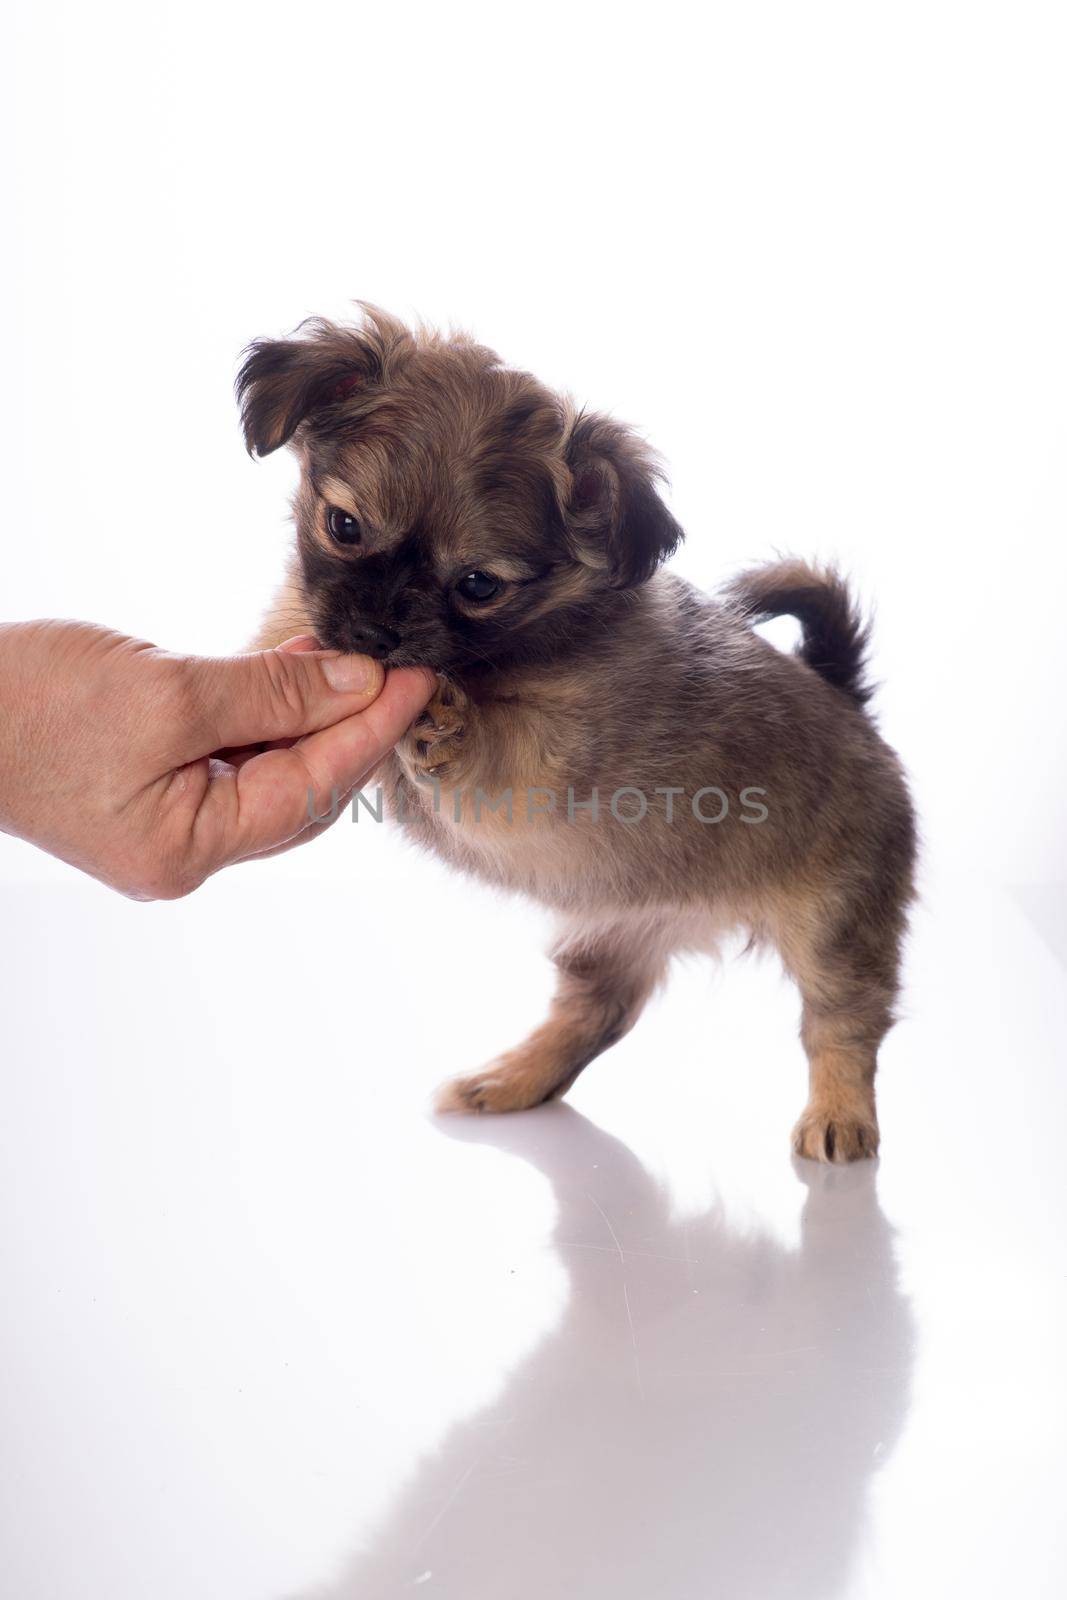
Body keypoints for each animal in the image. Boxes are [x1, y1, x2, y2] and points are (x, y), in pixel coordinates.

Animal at [239, 305, 921, 1164]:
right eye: (343, 526)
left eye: (477, 586)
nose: (374, 632)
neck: (513, 643)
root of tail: (846, 698)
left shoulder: (540, 769)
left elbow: (490, 749)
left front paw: (446, 723)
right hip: (608, 934)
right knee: (599, 1012)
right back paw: (510, 1081)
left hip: (835, 921)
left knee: (843, 1021)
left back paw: (838, 1116)